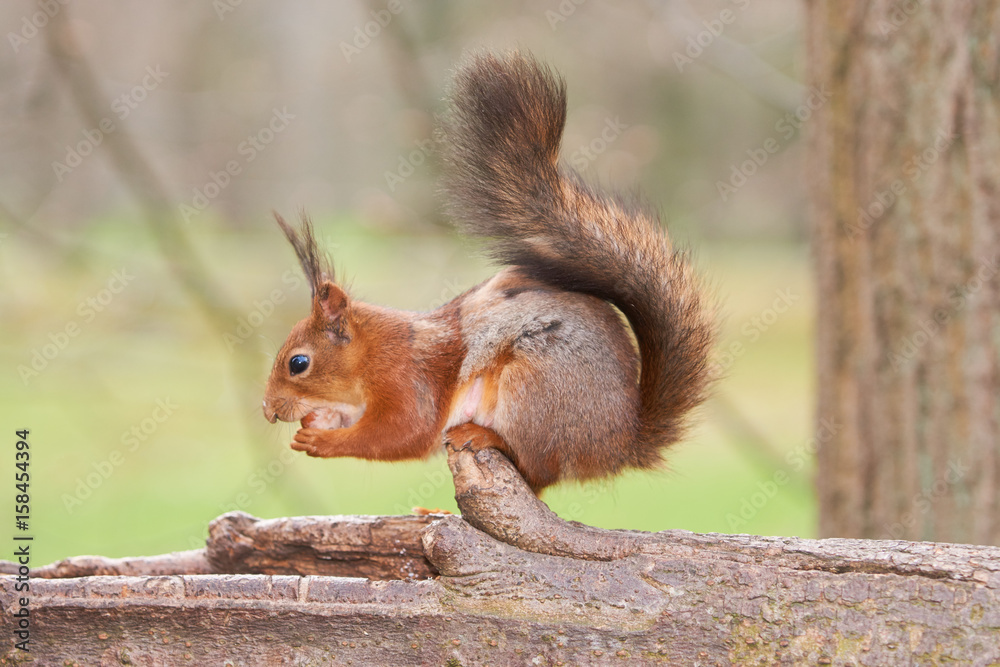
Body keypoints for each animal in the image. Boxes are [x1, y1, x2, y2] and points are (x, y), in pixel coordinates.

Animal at [262, 51, 715, 494]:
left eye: (298, 363)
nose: (267, 410)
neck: (371, 352)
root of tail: (619, 444)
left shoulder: (406, 381)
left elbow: (402, 433)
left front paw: (322, 440)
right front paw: (317, 421)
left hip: (533, 388)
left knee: (537, 468)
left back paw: (486, 436)